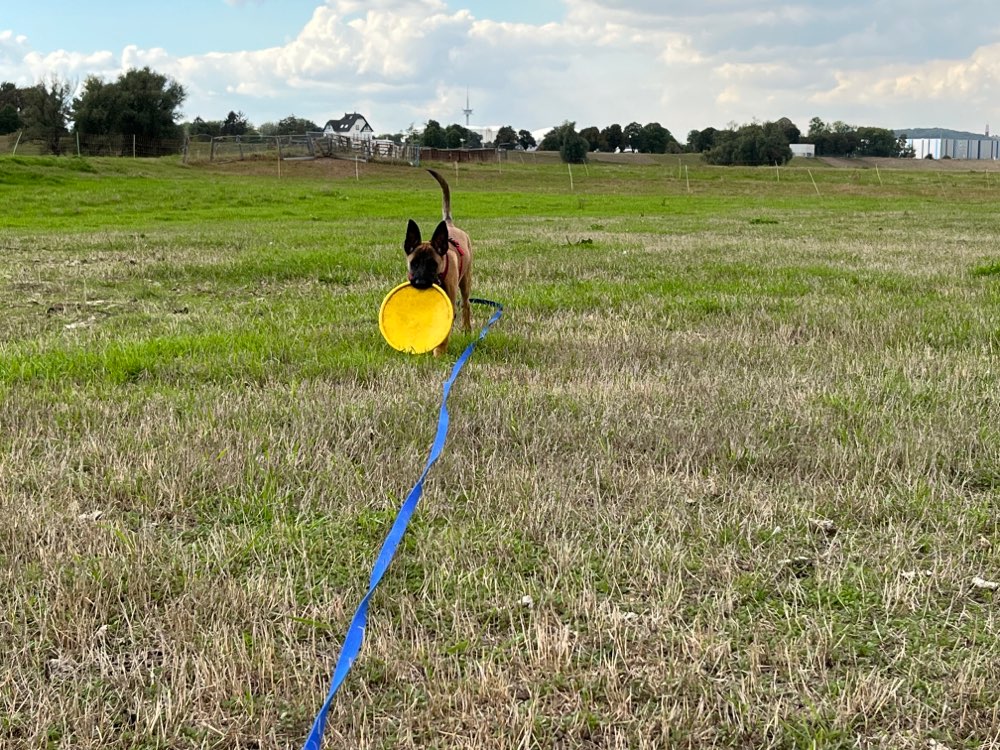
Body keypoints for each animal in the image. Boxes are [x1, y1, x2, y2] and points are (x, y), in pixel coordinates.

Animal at [402, 170, 472, 358]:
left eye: (433, 264)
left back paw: (467, 330)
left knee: (466, 304)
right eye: (414, 263)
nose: (420, 283)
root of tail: (448, 224)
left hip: (466, 281)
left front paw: (439, 352)